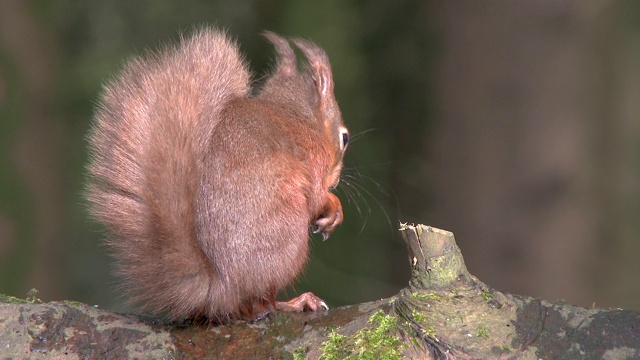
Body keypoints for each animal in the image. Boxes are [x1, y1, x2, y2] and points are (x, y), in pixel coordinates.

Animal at [87, 28, 348, 320]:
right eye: (345, 138)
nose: (336, 179)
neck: (298, 117)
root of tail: (222, 289)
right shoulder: (311, 162)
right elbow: (315, 197)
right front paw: (334, 206)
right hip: (288, 239)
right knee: (260, 306)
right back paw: (296, 302)